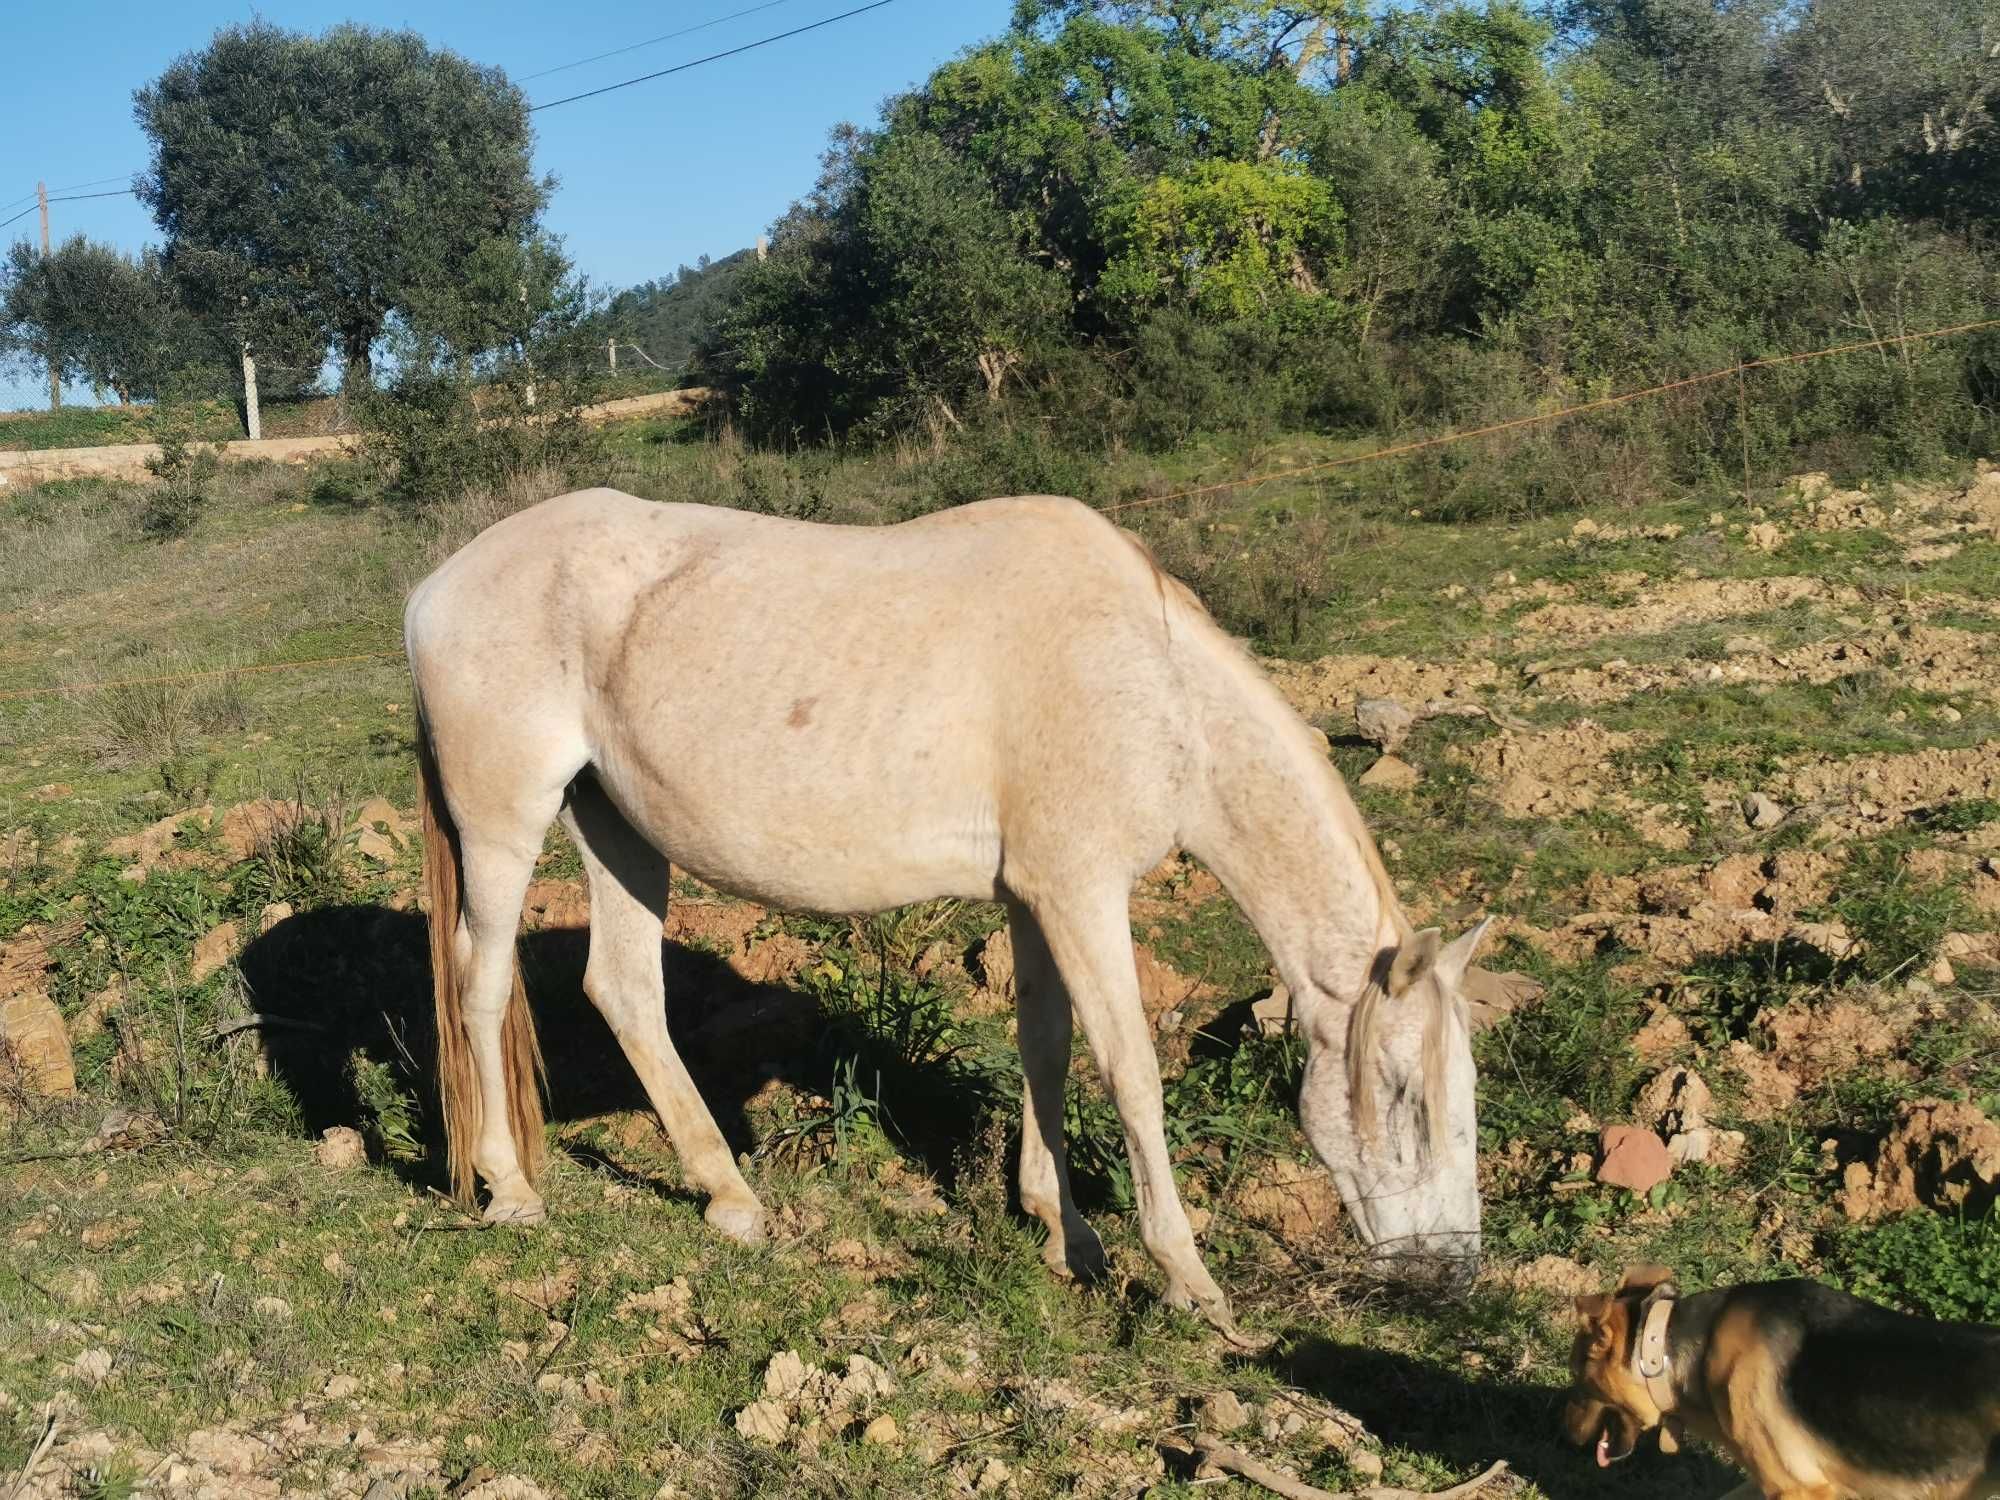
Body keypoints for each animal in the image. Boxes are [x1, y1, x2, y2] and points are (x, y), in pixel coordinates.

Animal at [406, 488, 1496, 1344]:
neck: (1153, 685)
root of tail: (433, 590)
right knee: (480, 982)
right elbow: (1130, 1074)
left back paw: (730, 1198)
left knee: (624, 989)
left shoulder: (1035, 899)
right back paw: (511, 1191)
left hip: (614, 827)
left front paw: (1065, 1234)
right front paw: (1188, 1281)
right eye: (1402, 1095)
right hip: (505, 823)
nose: (1449, 1274)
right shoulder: (1082, 894)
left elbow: (1046, 1050)